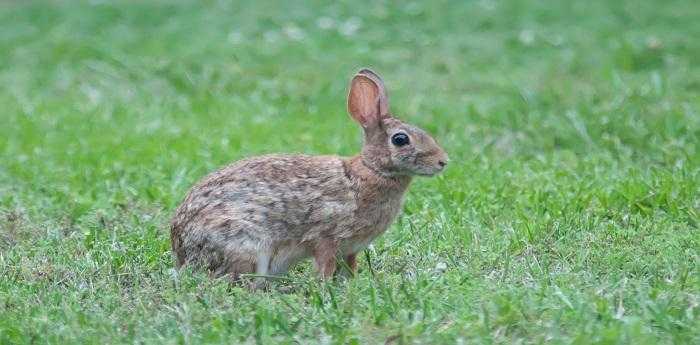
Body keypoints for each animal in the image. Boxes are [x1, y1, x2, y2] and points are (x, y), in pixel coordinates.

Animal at [172, 68, 452, 280]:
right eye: (400, 139)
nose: (443, 161)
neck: (371, 170)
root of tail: (181, 252)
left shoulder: (350, 249)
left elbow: (350, 267)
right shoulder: (327, 237)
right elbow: (324, 264)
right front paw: (325, 286)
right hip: (246, 245)